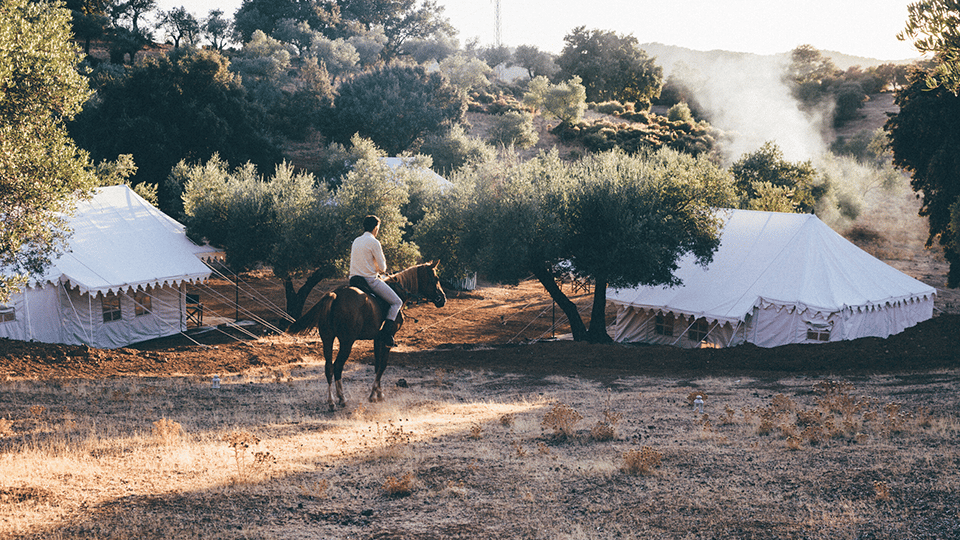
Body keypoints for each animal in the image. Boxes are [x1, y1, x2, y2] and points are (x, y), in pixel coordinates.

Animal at [288, 260, 446, 410]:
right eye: (436, 278)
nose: (442, 299)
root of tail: (335, 294)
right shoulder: (387, 340)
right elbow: (383, 365)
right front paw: (374, 395)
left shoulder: (377, 339)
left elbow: (377, 365)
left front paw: (378, 393)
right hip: (347, 342)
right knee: (337, 366)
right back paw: (342, 399)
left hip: (327, 339)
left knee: (328, 368)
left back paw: (331, 402)